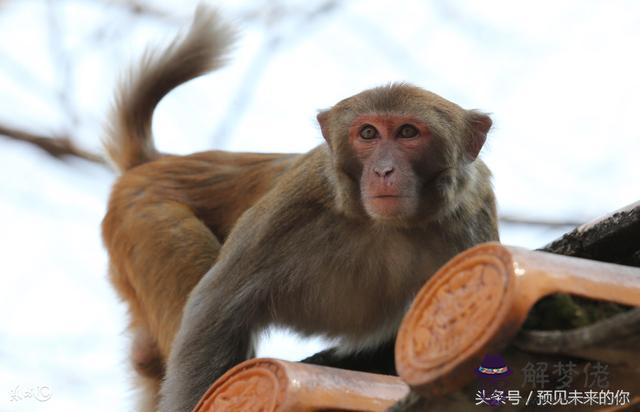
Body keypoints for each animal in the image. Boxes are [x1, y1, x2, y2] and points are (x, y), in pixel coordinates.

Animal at [101, 6, 498, 412]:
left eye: (407, 132)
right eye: (368, 133)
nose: (384, 171)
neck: (386, 226)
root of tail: (156, 162)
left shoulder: (473, 218)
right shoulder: (292, 207)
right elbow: (214, 312)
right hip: (148, 217)